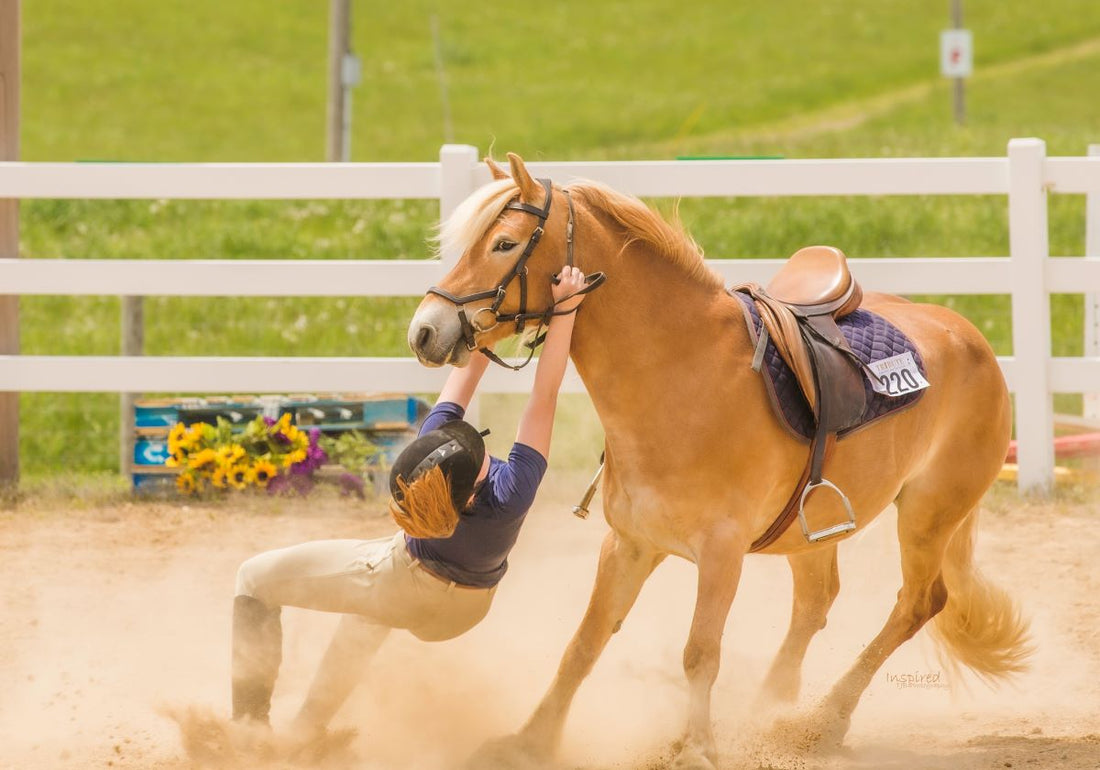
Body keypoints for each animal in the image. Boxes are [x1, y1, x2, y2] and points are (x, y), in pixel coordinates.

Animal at [407, 153, 1030, 769]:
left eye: (505, 243)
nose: (424, 329)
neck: (681, 372)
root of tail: (972, 337)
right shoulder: (630, 545)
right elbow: (584, 644)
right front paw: (530, 741)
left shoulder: (721, 553)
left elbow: (700, 653)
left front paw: (698, 749)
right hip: (815, 527)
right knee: (816, 603)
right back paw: (765, 714)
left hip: (927, 516)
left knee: (917, 603)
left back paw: (821, 722)